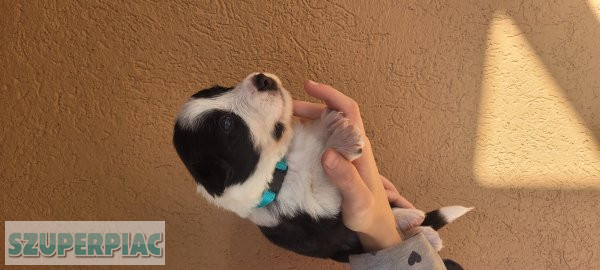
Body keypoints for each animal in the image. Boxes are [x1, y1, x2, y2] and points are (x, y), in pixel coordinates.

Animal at [171, 73, 472, 264]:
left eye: (220, 89)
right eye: (226, 125)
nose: (263, 79)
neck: (285, 162)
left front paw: (330, 123)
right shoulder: (322, 211)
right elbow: (324, 170)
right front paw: (343, 139)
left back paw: (414, 220)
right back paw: (424, 232)